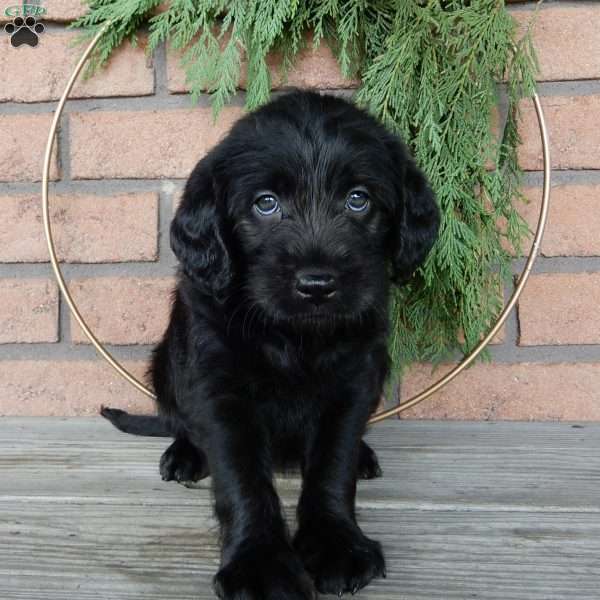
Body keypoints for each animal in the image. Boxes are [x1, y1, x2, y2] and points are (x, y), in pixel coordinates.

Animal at [102, 90, 440, 600]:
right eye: (266, 204)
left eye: (358, 200)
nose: (317, 284)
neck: (293, 336)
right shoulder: (219, 386)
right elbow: (242, 477)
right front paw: (258, 564)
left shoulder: (354, 379)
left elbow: (333, 464)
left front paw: (336, 544)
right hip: (164, 362)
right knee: (180, 419)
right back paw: (184, 454)